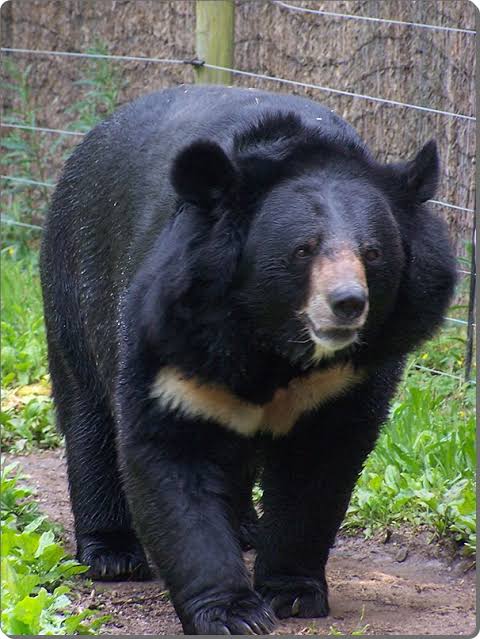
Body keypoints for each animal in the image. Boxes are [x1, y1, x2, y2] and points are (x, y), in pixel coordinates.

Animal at [40, 85, 456, 635]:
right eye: (303, 250)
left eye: (373, 253)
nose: (347, 304)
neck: (271, 339)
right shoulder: (172, 332)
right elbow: (169, 452)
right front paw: (233, 612)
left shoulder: (350, 375)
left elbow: (317, 470)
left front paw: (291, 593)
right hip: (75, 279)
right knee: (88, 417)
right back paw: (112, 554)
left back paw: (244, 529)